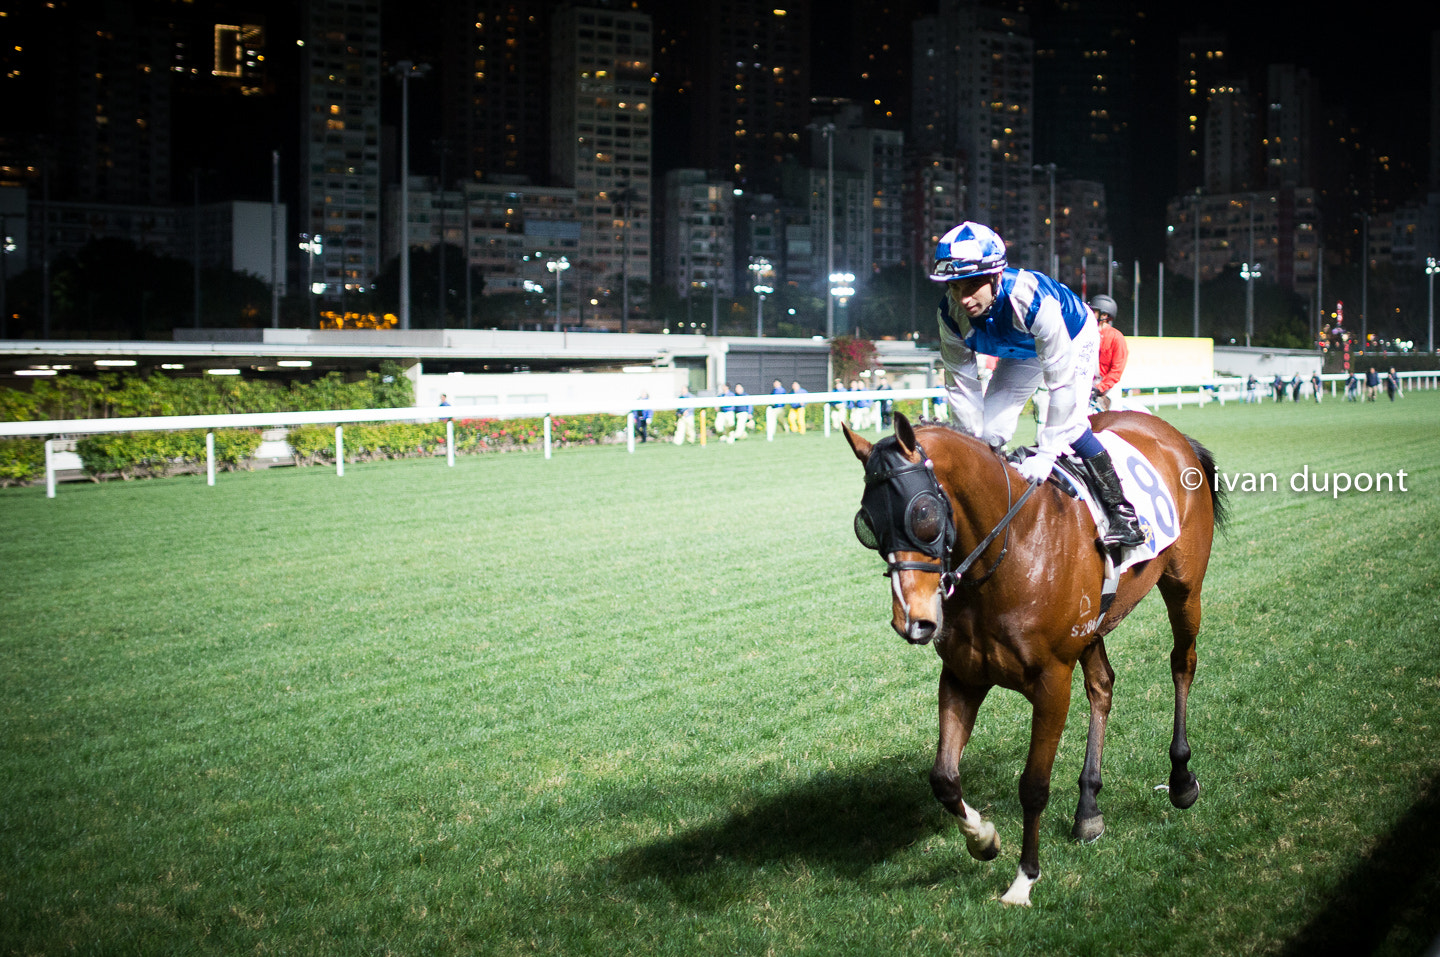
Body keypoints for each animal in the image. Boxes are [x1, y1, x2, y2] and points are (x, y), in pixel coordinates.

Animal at [840, 411, 1226, 903]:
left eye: (923, 513)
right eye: (867, 522)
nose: (914, 620)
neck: (1008, 552)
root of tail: (1170, 433)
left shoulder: (1051, 682)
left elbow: (1034, 785)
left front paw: (1025, 877)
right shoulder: (963, 676)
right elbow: (943, 777)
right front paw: (984, 839)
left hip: (1185, 587)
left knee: (1182, 663)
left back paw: (1180, 778)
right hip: (1093, 625)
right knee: (1102, 686)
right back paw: (1088, 806)